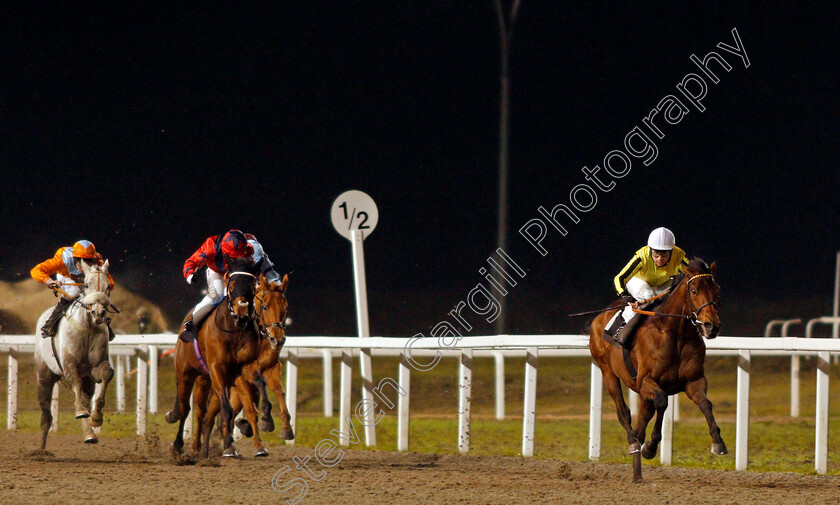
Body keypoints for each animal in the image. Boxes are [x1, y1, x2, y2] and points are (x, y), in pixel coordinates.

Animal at [34, 258, 115, 446]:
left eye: (108, 286)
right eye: (86, 284)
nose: (98, 312)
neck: (87, 327)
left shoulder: (94, 368)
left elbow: (107, 374)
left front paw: (96, 417)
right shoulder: (69, 364)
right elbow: (76, 386)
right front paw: (80, 411)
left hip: (88, 382)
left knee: (85, 398)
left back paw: (90, 434)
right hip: (44, 376)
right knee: (46, 416)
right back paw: (40, 449)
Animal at [166, 260, 260, 456]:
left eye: (252, 286)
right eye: (231, 285)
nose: (241, 315)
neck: (234, 331)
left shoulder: (242, 368)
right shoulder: (217, 368)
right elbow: (226, 409)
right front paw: (229, 445)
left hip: (204, 378)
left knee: (201, 411)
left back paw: (198, 447)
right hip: (186, 373)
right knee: (185, 408)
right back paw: (178, 445)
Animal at [588, 258, 724, 482]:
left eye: (716, 289)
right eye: (694, 290)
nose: (711, 326)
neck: (675, 333)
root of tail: (601, 316)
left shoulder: (693, 381)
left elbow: (705, 404)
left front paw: (718, 442)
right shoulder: (646, 381)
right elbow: (662, 401)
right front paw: (650, 447)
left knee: (642, 422)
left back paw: (637, 472)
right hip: (607, 372)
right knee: (624, 412)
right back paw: (634, 444)